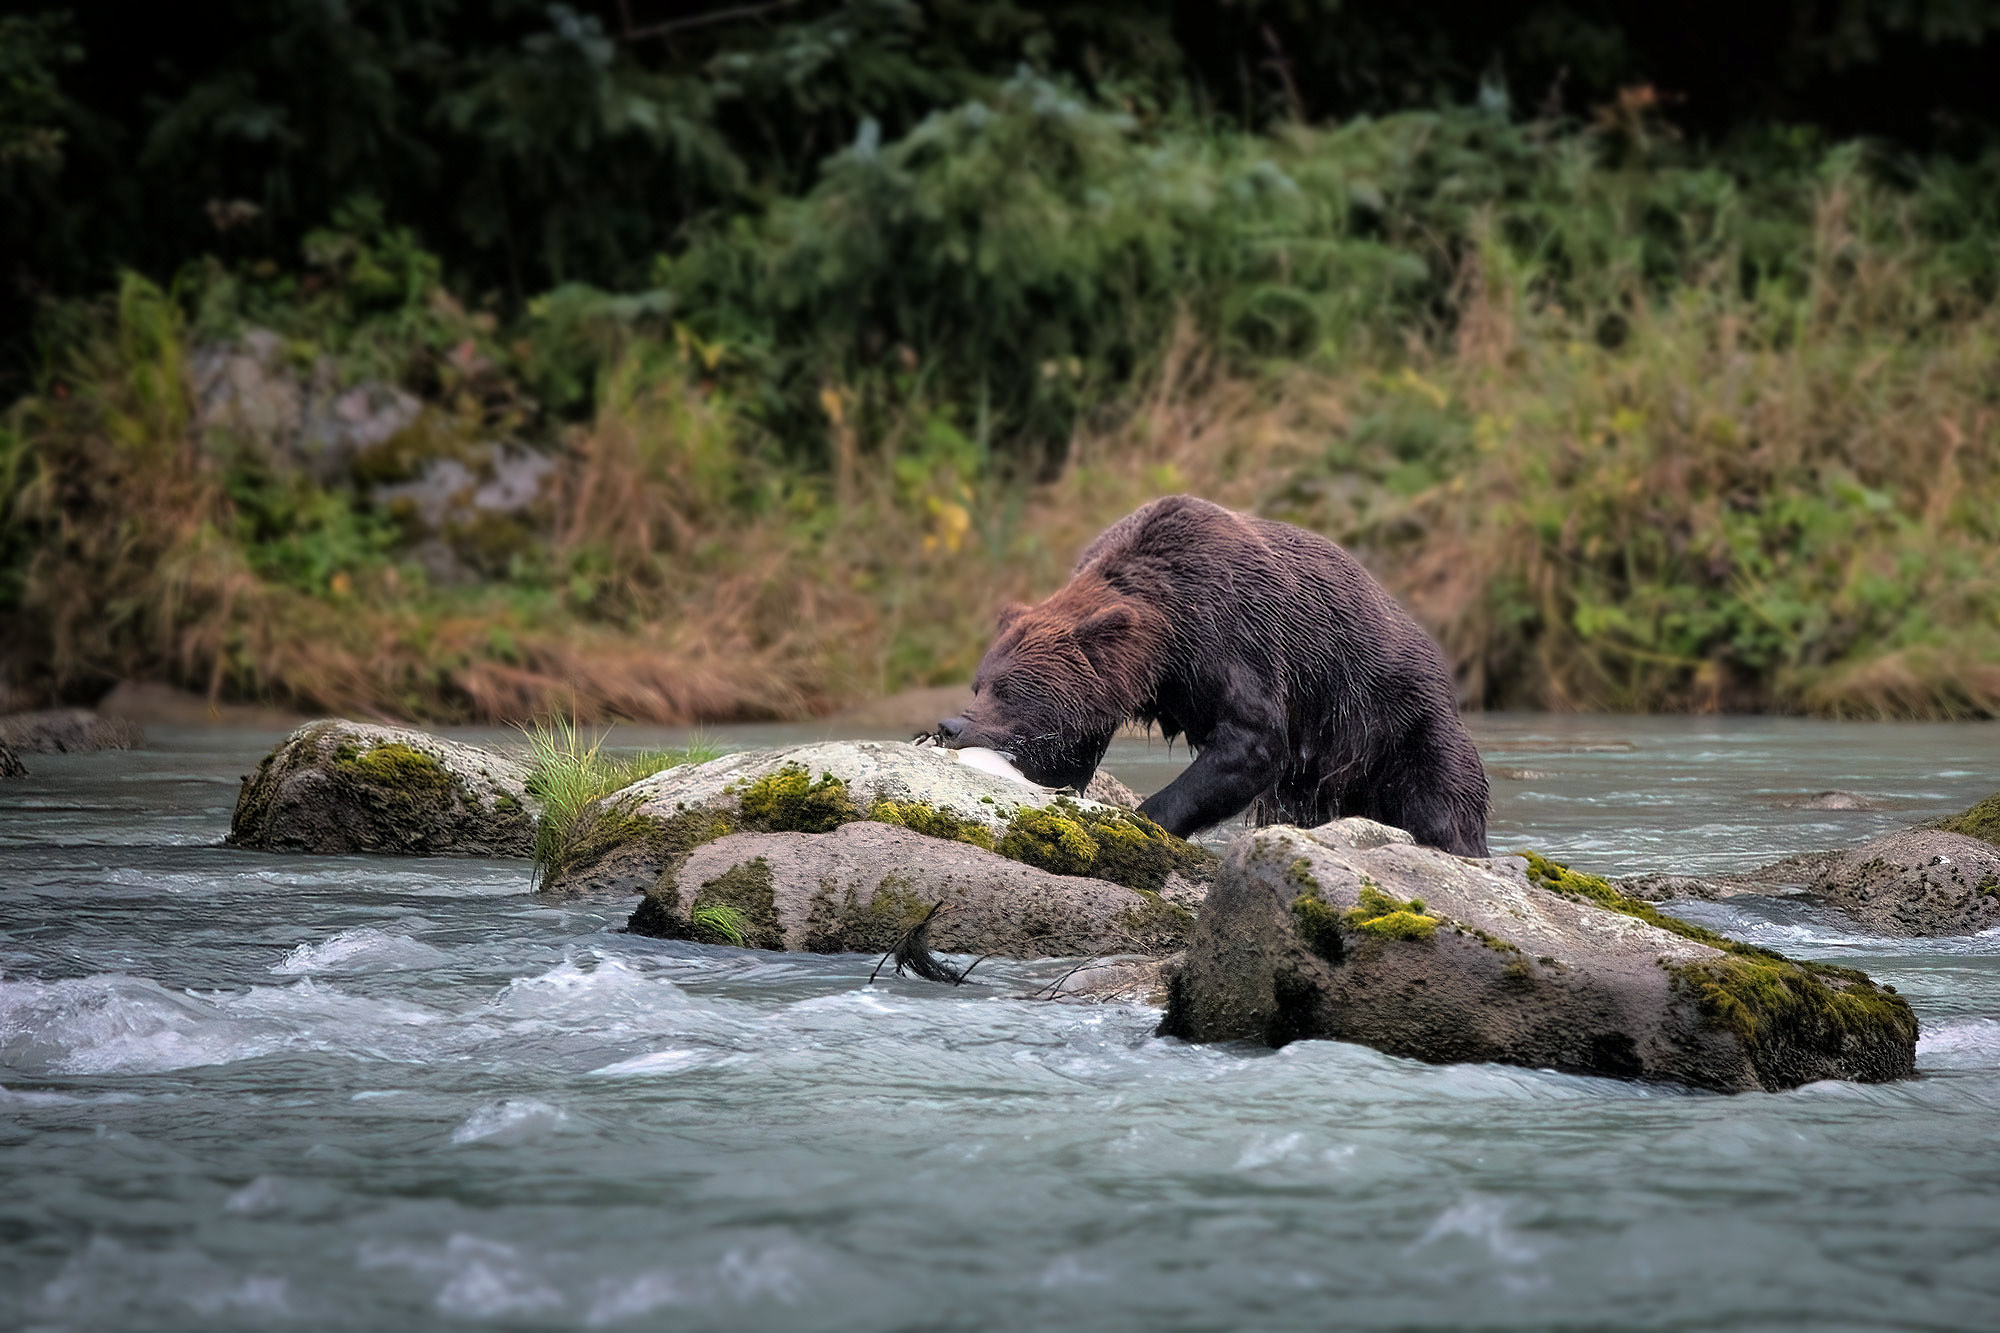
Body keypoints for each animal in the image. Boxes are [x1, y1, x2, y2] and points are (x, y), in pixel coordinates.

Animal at [936, 496, 1488, 852]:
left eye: (1008, 690)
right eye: (979, 683)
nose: (950, 725)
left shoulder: (1234, 636)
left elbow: (1252, 743)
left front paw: (1146, 818)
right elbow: (1070, 752)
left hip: (1393, 719)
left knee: (1445, 802)